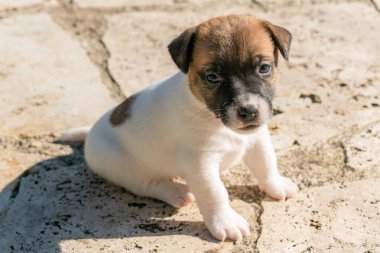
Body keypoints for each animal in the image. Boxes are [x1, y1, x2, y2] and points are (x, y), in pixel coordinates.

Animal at [59, 14, 298, 240]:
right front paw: (226, 221)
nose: (248, 111)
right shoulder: (199, 162)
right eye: (213, 77)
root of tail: (91, 132)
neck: (211, 116)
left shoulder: (257, 139)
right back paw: (178, 191)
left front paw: (276, 185)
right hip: (123, 167)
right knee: (148, 184)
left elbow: (266, 163)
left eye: (264, 68)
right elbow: (215, 192)